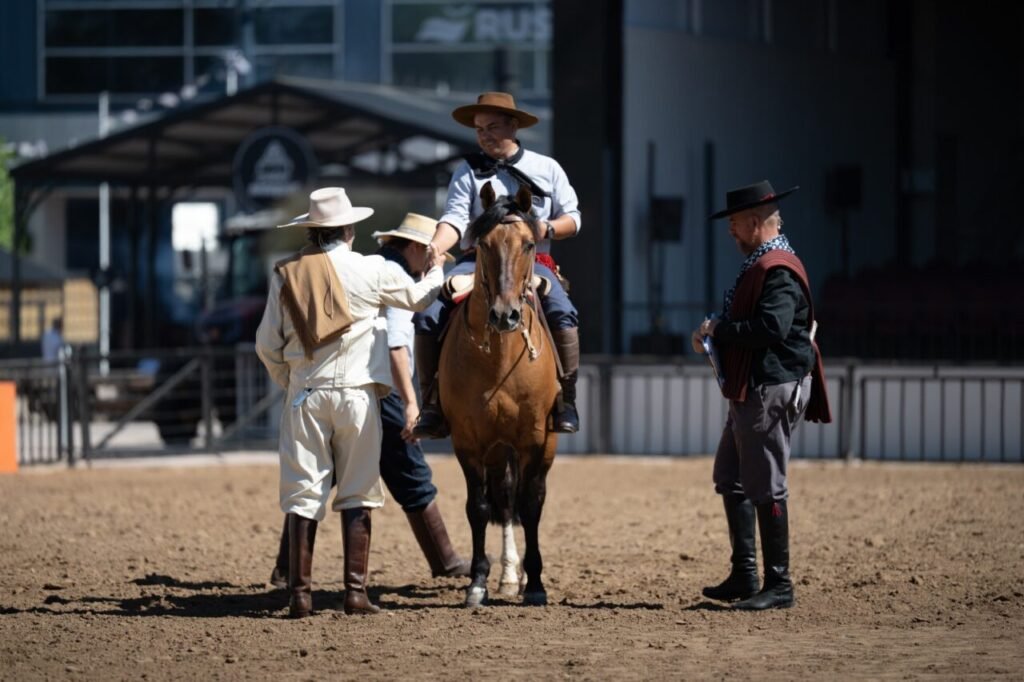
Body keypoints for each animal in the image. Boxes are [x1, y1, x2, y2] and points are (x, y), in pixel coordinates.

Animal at [439, 181, 561, 607]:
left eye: (529, 244)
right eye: (485, 243)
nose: (505, 315)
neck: (500, 358)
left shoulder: (536, 438)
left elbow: (533, 504)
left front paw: (536, 583)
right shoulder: (468, 441)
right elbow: (478, 507)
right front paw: (477, 582)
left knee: (520, 499)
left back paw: (517, 577)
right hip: (495, 448)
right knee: (504, 499)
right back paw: (507, 576)